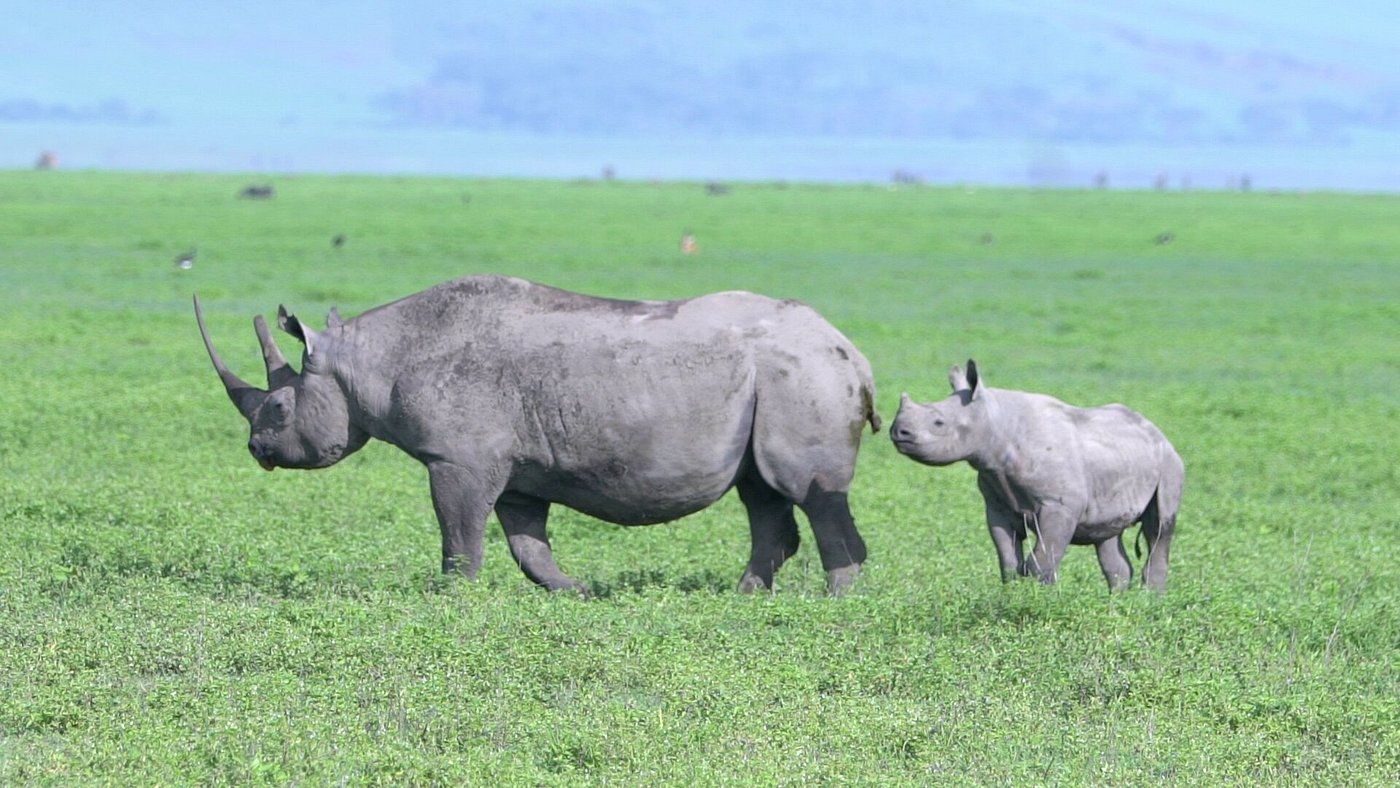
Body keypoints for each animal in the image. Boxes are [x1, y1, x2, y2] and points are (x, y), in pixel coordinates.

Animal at [195, 275, 880, 594]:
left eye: (277, 408)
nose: (257, 450)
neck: (364, 362)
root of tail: (851, 349)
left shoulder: (458, 458)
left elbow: (460, 536)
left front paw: (453, 598)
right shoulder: (518, 468)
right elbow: (527, 544)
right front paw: (578, 592)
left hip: (804, 375)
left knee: (809, 490)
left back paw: (835, 605)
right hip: (777, 384)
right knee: (761, 491)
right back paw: (746, 599)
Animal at [889, 360, 1183, 591]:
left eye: (938, 423)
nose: (898, 431)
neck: (995, 421)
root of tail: (1160, 433)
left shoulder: (1060, 505)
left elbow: (1041, 560)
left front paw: (1041, 600)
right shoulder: (997, 502)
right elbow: (1009, 562)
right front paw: (1014, 595)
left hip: (1169, 464)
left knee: (1159, 529)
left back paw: (1149, 605)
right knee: (1108, 538)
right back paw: (1118, 607)